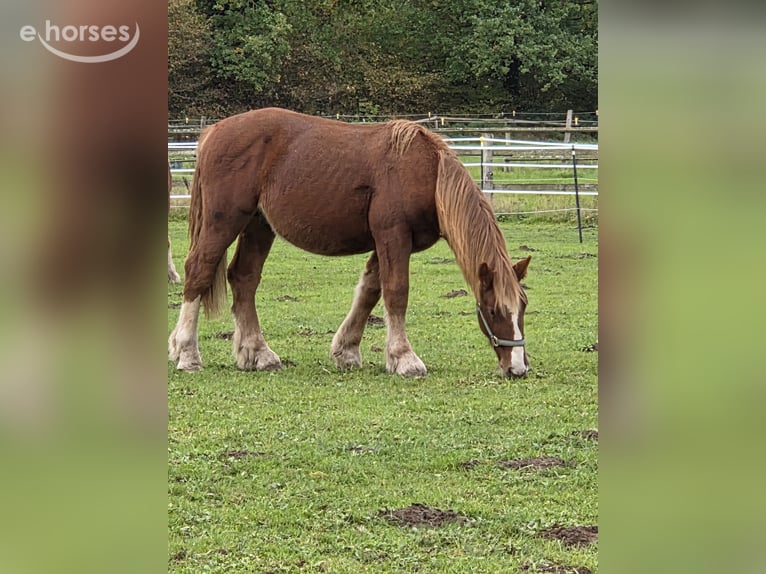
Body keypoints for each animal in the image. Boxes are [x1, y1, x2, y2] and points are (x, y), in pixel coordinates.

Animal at [169, 108, 531, 377]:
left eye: (522, 307)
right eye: (494, 310)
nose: (517, 368)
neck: (425, 172)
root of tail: (213, 132)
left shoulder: (388, 243)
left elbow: (370, 291)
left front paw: (347, 350)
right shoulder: (393, 235)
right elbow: (396, 292)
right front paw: (405, 358)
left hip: (259, 226)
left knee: (243, 278)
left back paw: (258, 354)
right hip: (224, 221)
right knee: (198, 271)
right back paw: (187, 353)